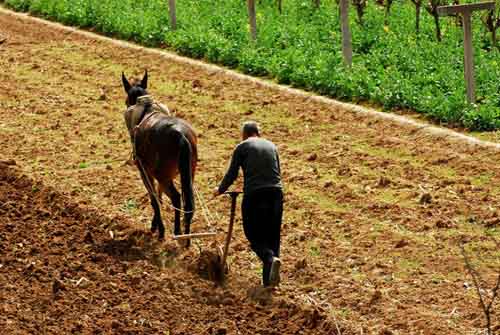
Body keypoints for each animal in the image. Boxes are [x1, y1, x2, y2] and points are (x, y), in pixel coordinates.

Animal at [121, 71, 197, 245]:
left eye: (127, 100)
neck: (146, 112)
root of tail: (181, 135)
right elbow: (159, 195)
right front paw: (155, 224)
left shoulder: (144, 172)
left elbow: (154, 198)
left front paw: (158, 229)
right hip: (188, 174)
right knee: (188, 203)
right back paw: (186, 238)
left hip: (162, 175)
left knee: (176, 198)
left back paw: (176, 232)